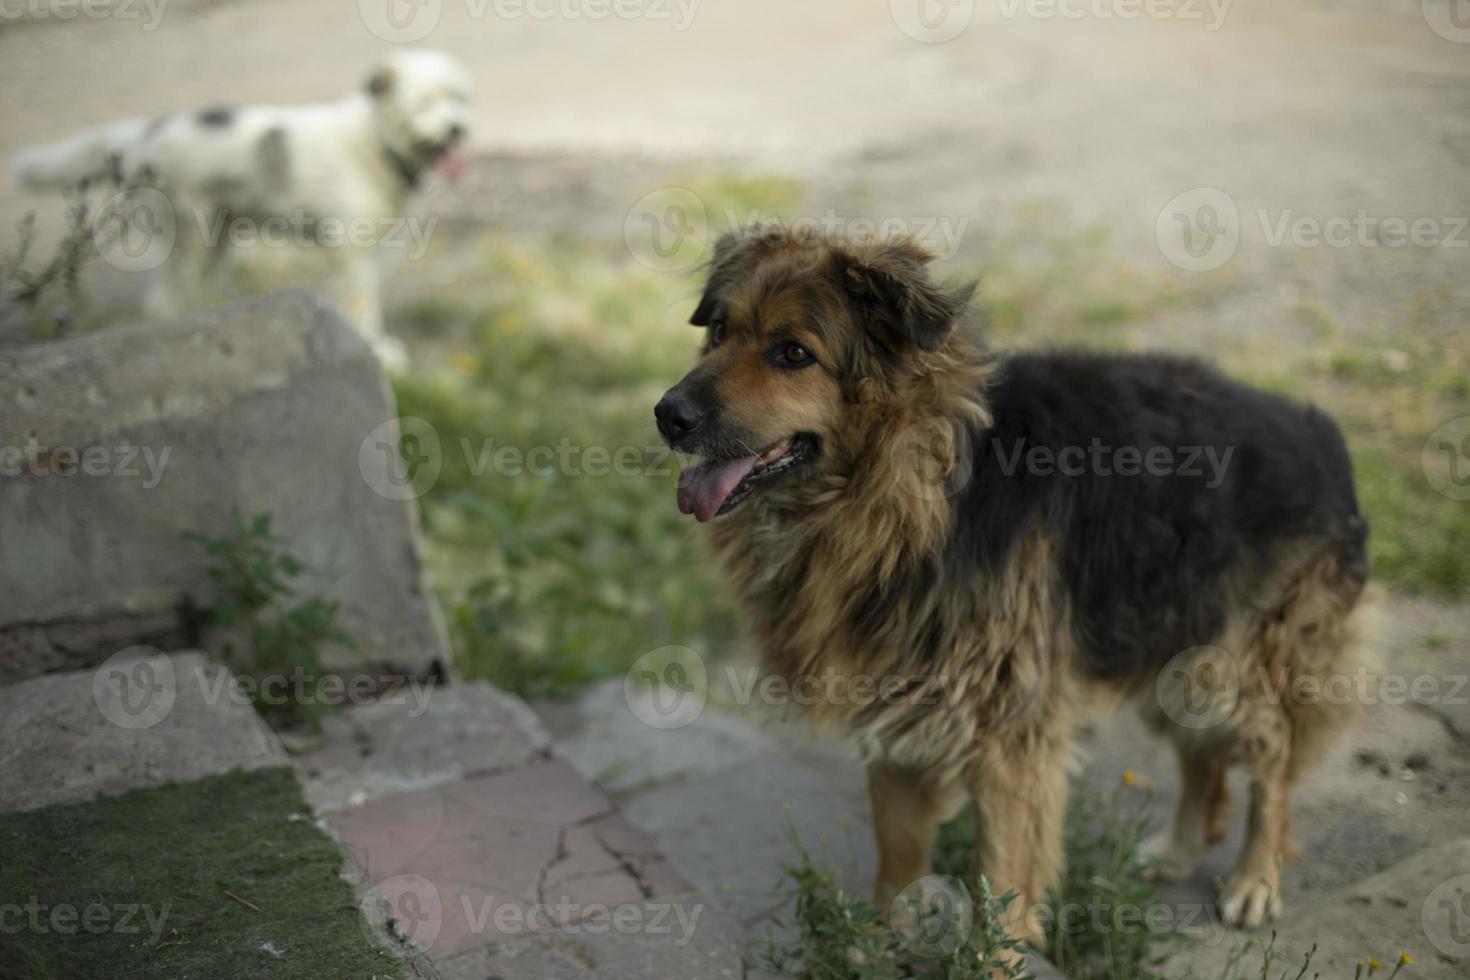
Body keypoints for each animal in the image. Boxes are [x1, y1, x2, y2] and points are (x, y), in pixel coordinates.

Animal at [10, 48, 470, 367]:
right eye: (424, 102)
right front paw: (378, 352)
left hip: (218, 240)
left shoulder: (376, 250)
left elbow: (362, 301)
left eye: (459, 98)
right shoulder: (352, 250)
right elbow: (364, 304)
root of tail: (147, 132)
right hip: (190, 239)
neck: (375, 142)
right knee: (164, 303)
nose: (457, 129)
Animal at [655, 224, 1375, 952]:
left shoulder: (1006, 736)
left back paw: (1256, 877)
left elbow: (1000, 878)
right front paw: (882, 944)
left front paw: (994, 957)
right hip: (1170, 638)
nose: (667, 415)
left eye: (793, 353)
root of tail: (1318, 428)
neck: (913, 494)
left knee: (1272, 758)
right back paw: (1178, 850)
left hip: (1235, 660)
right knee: (1202, 755)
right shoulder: (896, 709)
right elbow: (897, 852)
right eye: (719, 330)